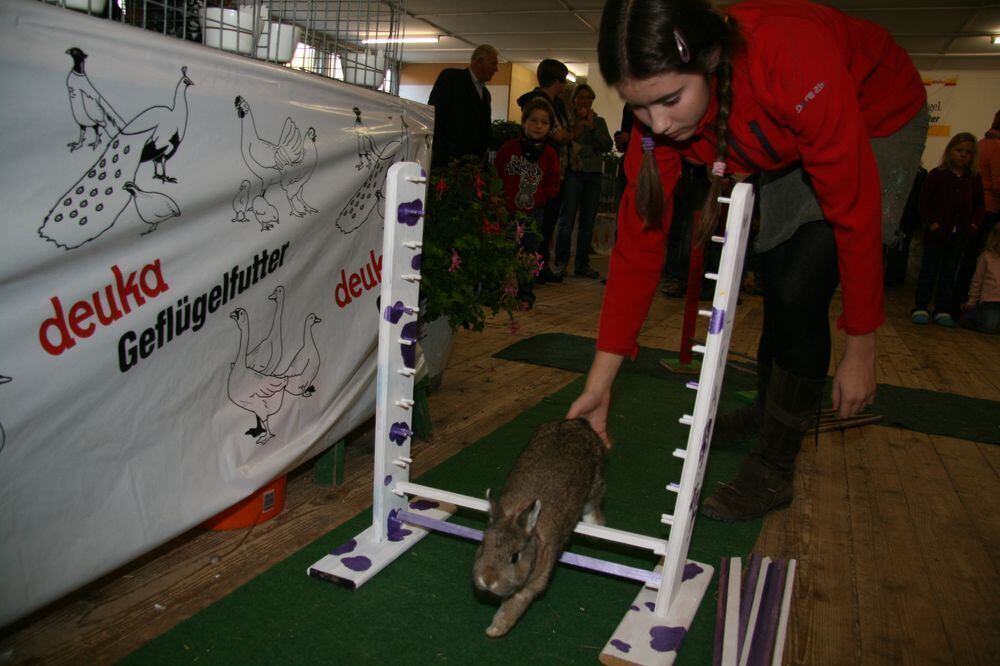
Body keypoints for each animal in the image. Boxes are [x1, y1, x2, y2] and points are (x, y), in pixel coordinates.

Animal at [472, 418, 604, 636]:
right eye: (483, 545)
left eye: (515, 557)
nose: (488, 580)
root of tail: (579, 424)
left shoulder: (531, 586)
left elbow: (512, 608)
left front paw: (495, 630)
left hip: (595, 486)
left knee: (594, 507)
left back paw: (595, 532)